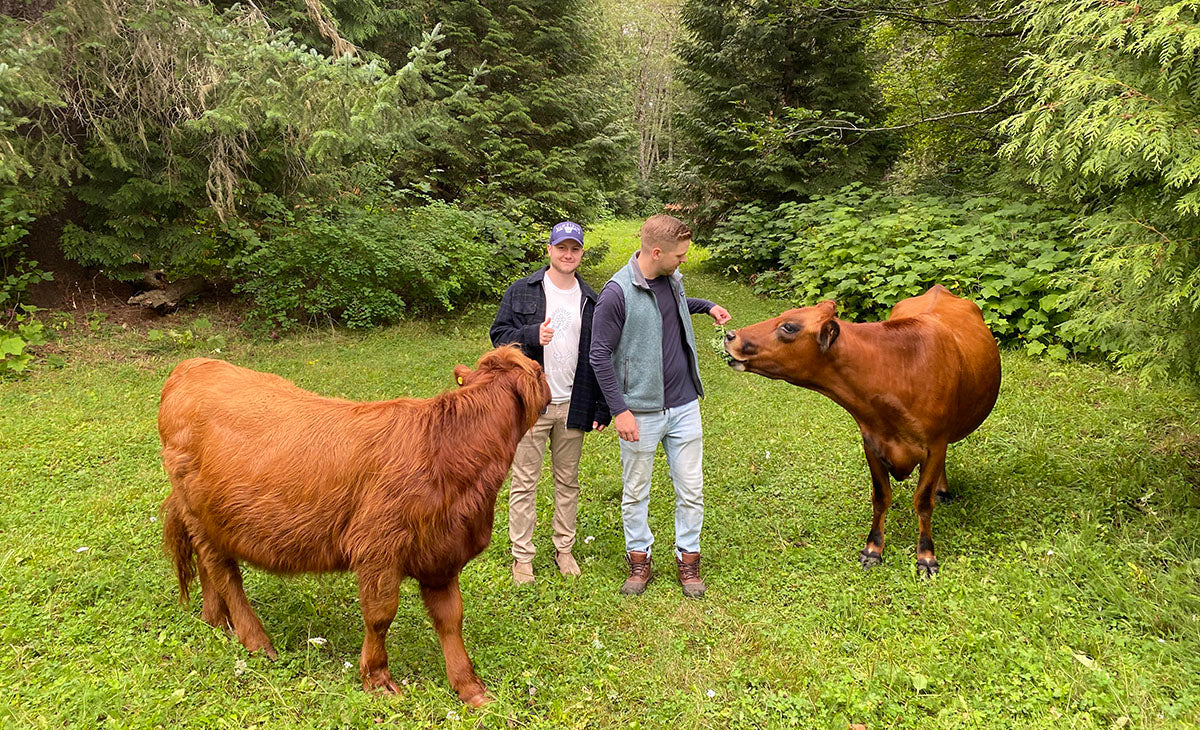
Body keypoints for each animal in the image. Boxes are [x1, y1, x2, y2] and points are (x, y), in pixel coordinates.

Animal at [157, 345, 549, 705]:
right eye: (540, 370)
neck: (449, 452)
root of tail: (191, 366)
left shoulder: (442, 555)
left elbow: (450, 618)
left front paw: (470, 688)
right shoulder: (378, 549)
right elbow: (380, 615)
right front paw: (377, 679)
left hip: (212, 519)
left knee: (209, 568)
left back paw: (215, 622)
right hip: (199, 513)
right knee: (224, 573)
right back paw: (256, 641)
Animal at [720, 285, 1003, 576]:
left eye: (789, 326)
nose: (730, 335)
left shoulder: (935, 444)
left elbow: (923, 502)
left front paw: (926, 556)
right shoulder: (871, 443)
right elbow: (881, 497)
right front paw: (873, 549)